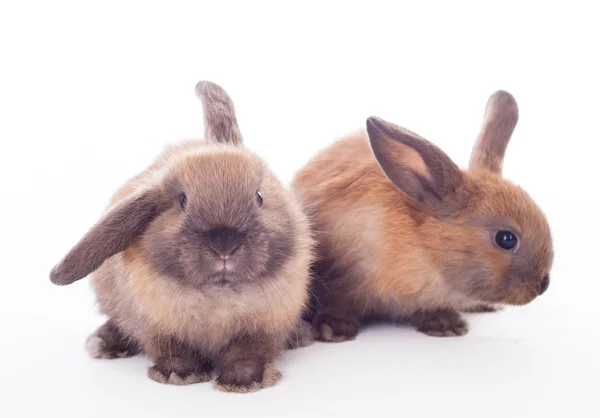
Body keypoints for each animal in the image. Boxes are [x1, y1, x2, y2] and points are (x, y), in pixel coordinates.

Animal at [48, 81, 314, 392]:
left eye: (259, 197)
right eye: (182, 201)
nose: (224, 246)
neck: (219, 294)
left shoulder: (262, 329)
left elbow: (247, 354)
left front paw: (244, 381)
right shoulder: (158, 328)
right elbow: (172, 351)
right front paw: (179, 375)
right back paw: (102, 343)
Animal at [292, 90, 552, 342]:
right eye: (506, 239)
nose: (543, 285)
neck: (425, 250)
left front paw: (446, 325)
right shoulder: (343, 278)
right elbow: (339, 305)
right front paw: (334, 331)